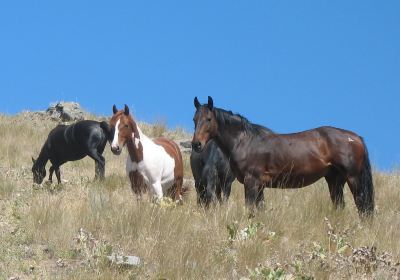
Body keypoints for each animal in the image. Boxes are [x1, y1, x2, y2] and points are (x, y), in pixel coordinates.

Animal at [192, 96, 374, 217]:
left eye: (208, 119)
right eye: (194, 119)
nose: (196, 144)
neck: (246, 141)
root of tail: (356, 137)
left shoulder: (251, 183)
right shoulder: (260, 186)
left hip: (353, 179)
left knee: (362, 207)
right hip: (335, 180)